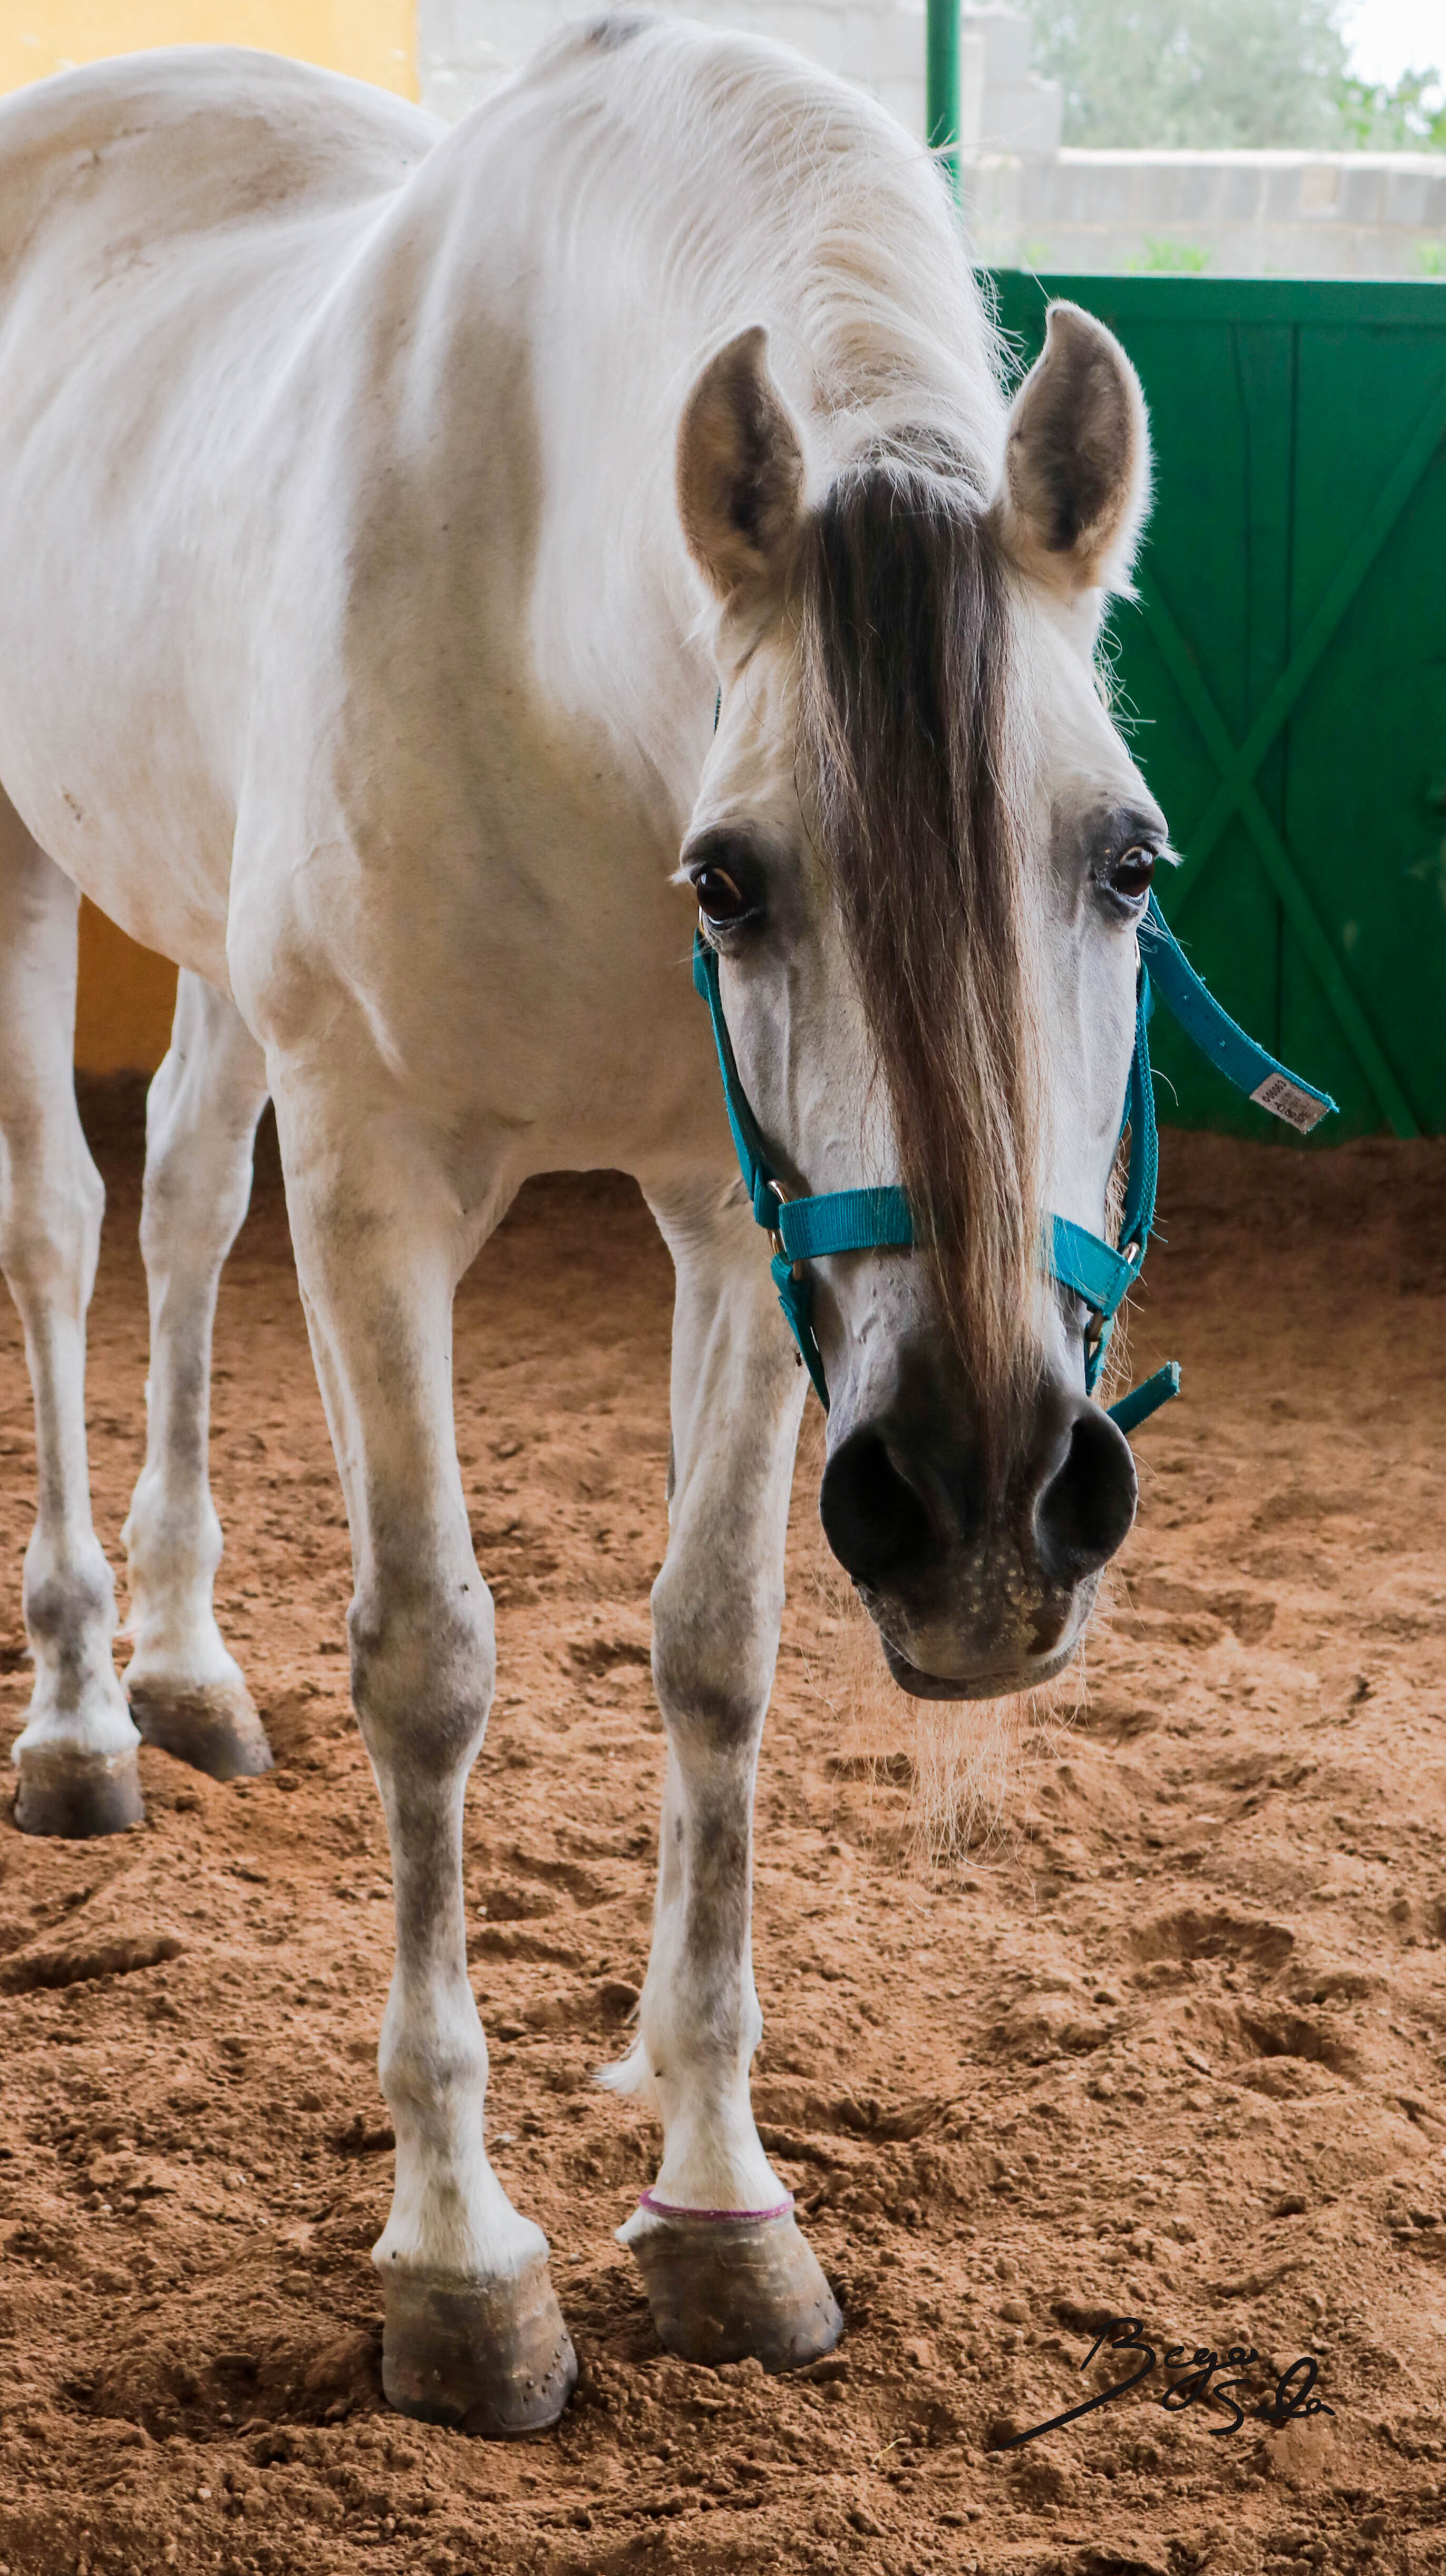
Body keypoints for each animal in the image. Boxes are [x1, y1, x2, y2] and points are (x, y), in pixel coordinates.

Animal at [0, 14, 1164, 2433]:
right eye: (730, 878)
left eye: (1126, 862)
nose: (993, 1510)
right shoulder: (376, 1180)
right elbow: (432, 1668)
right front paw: (461, 2261)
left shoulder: (743, 1231)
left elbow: (715, 1651)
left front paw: (720, 2201)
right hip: (32, 862)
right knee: (60, 1231)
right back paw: (77, 1717)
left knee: (177, 1201)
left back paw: (180, 1669)